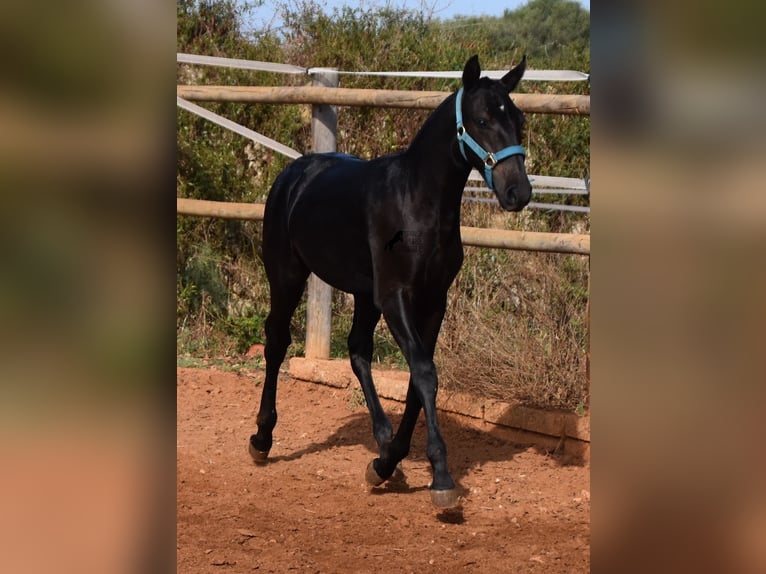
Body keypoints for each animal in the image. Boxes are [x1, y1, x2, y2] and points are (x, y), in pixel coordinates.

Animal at [249, 56, 532, 510]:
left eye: (519, 119)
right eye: (483, 119)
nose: (517, 192)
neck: (417, 204)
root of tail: (294, 171)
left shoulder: (433, 301)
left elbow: (419, 380)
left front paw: (388, 462)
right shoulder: (396, 296)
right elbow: (424, 372)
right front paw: (441, 479)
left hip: (364, 294)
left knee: (358, 352)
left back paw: (382, 447)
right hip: (287, 274)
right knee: (276, 341)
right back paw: (262, 438)